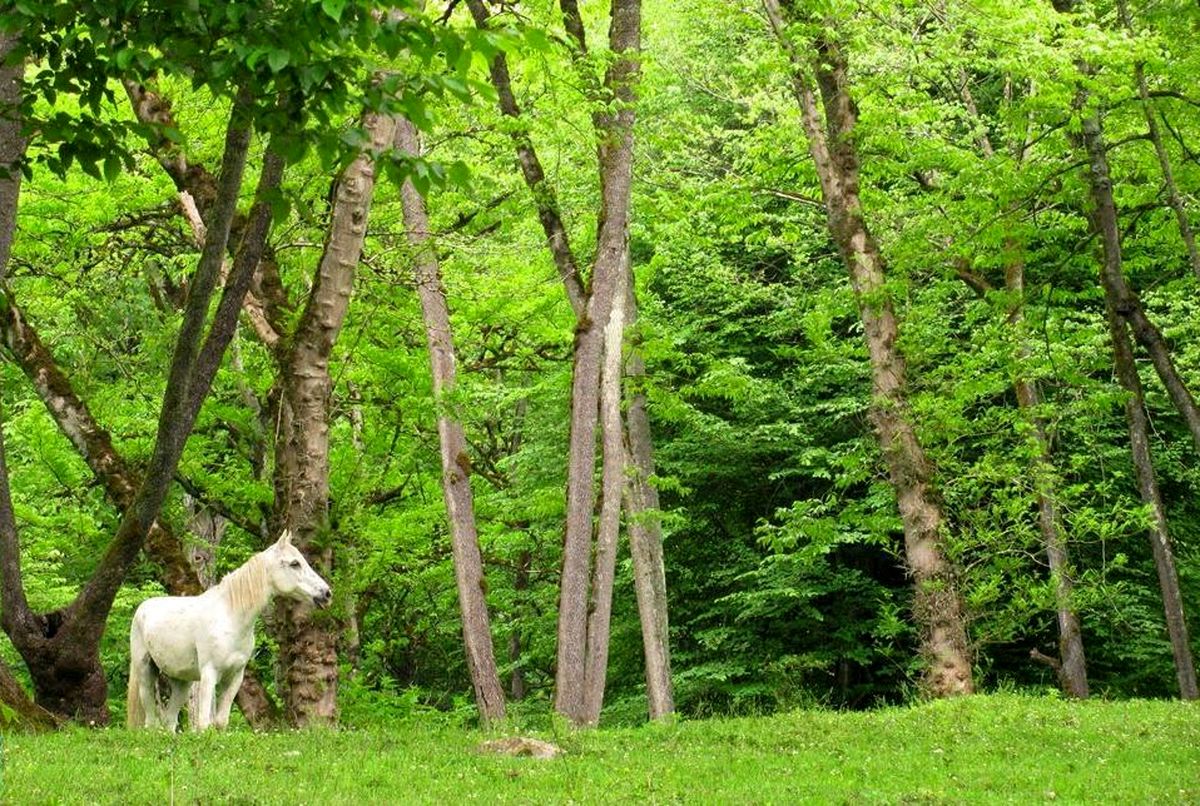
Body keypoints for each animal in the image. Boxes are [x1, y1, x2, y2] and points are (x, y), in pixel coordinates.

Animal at [126, 527, 331, 729]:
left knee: (169, 720)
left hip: (181, 681)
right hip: (145, 674)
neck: (230, 618)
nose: (326, 593)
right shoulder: (209, 675)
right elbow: (204, 724)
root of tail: (142, 608)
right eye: (295, 563)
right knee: (151, 722)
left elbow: (220, 722)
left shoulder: (235, 677)